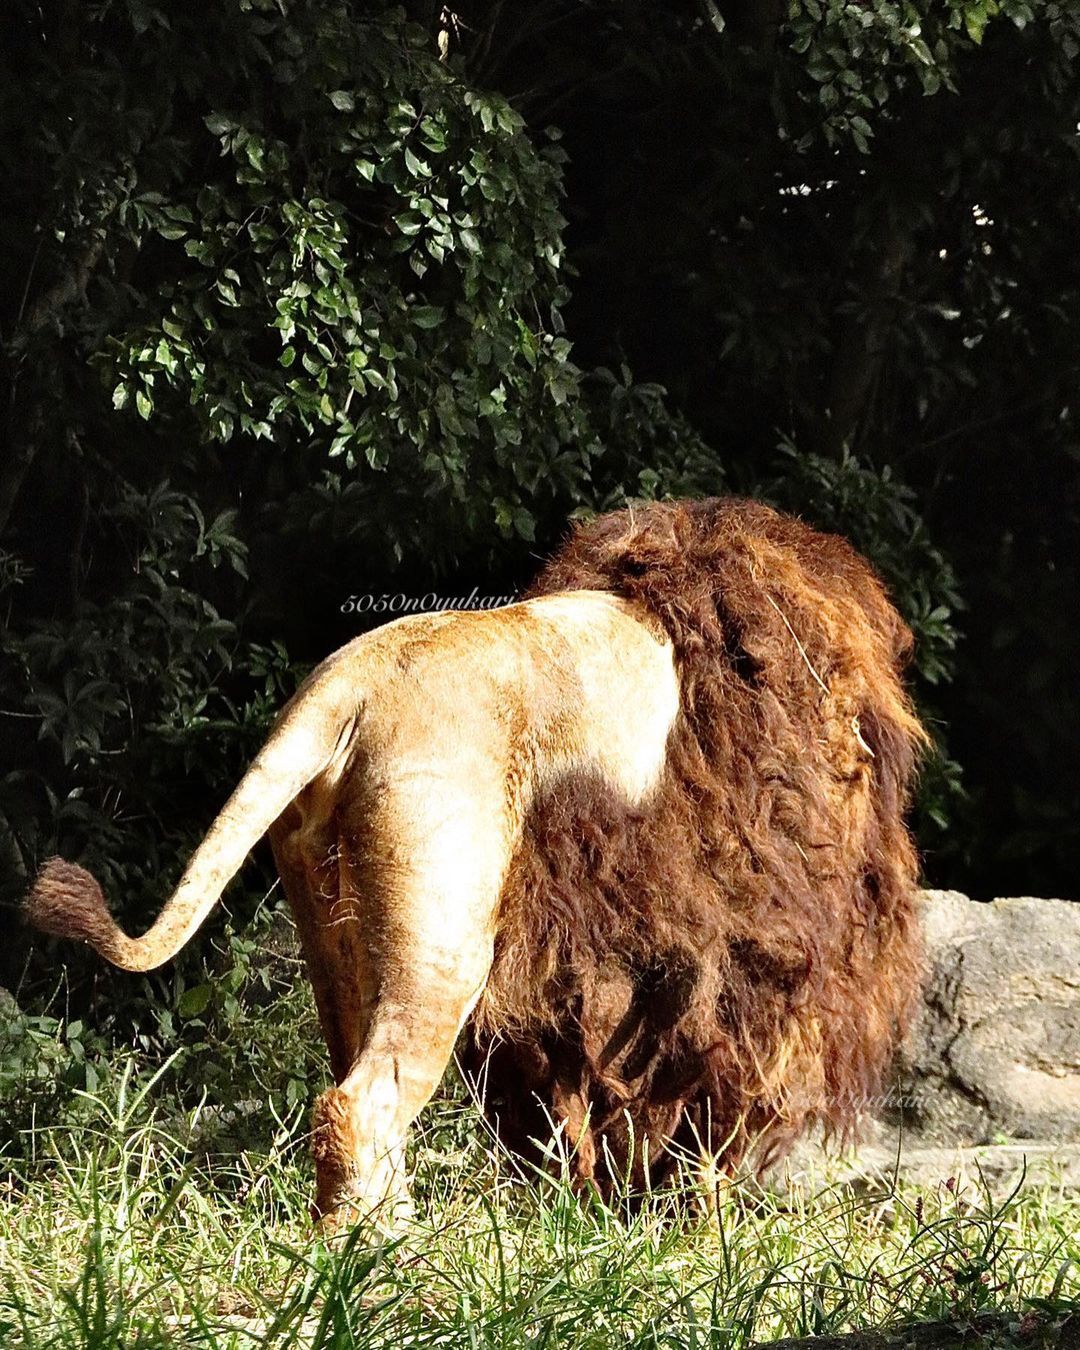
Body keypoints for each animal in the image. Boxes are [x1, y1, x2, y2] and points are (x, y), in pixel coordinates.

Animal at [23, 496, 928, 1225]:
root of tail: (348, 682)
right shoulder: (747, 959)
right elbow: (709, 1109)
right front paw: (698, 1232)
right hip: (445, 924)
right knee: (357, 1104)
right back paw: (378, 1257)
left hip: (332, 922)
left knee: (354, 1077)